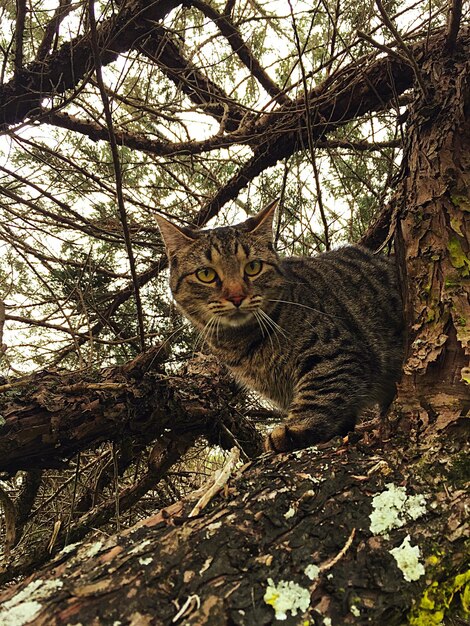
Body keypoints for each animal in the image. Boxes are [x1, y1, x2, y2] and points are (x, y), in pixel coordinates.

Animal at [157, 202, 404, 450]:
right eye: (206, 274)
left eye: (253, 267)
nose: (237, 296)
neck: (244, 345)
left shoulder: (335, 351)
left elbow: (320, 391)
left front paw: (296, 427)